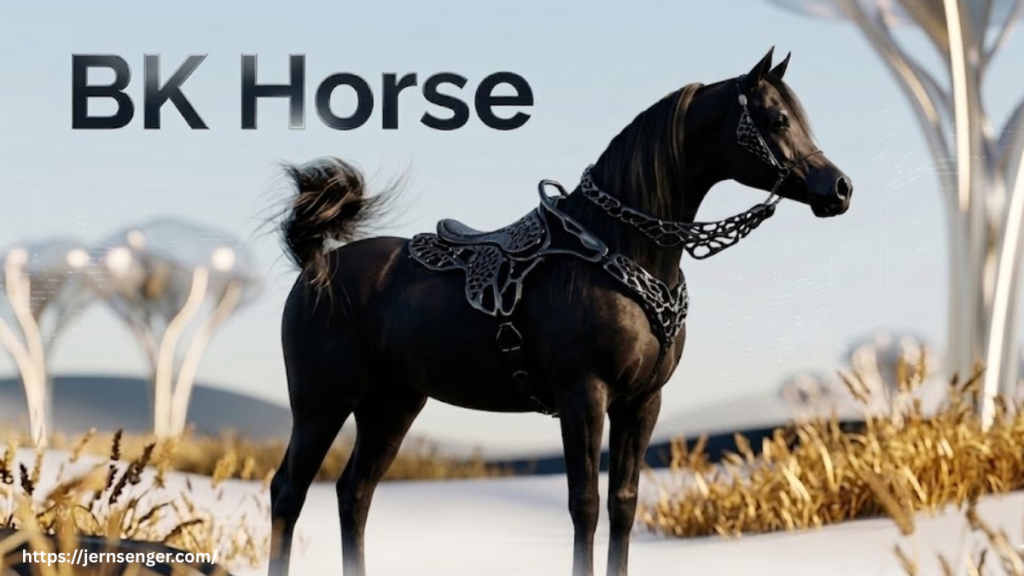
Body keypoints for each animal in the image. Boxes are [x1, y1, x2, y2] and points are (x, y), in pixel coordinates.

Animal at [267, 47, 853, 576]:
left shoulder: (642, 403)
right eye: (777, 119)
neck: (615, 248)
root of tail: (316, 269)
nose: (839, 189)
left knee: (355, 493)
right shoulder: (584, 395)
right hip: (322, 402)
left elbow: (623, 504)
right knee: (289, 491)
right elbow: (584, 506)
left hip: (392, 404)